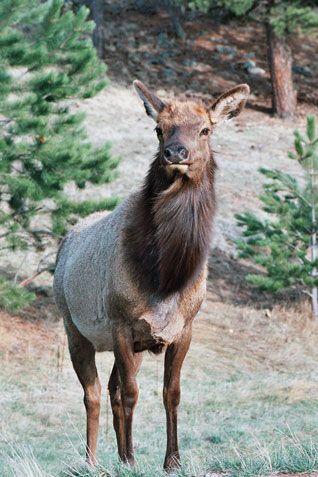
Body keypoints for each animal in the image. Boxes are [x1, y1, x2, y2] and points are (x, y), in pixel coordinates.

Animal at [53, 80, 250, 470]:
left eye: (205, 130)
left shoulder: (182, 329)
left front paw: (171, 460)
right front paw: (130, 459)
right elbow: (131, 393)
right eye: (159, 129)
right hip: (75, 328)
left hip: (134, 346)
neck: (165, 281)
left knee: (109, 390)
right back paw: (92, 461)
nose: (175, 152)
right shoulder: (121, 324)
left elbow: (171, 393)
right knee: (93, 393)